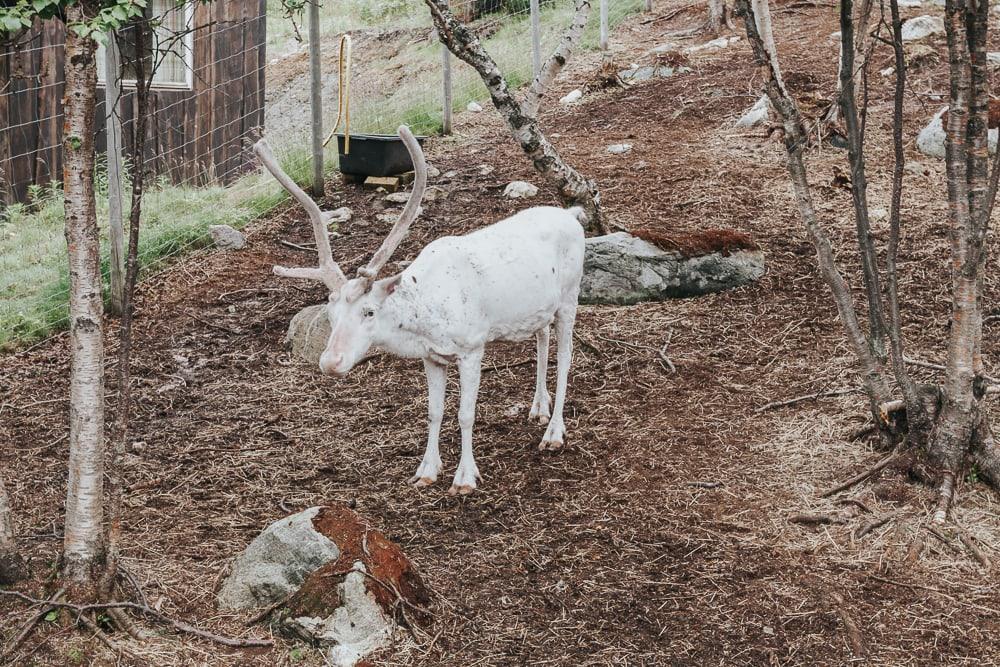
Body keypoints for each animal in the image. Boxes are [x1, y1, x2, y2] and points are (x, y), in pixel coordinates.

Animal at [254, 126, 585, 495]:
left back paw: (553, 432)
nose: (330, 362)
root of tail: (574, 216)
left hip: (570, 298)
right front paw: (426, 470)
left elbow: (465, 414)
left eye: (369, 312)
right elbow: (434, 412)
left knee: (566, 357)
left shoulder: (472, 347)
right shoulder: (432, 356)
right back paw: (538, 408)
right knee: (542, 340)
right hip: (539, 310)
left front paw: (465, 478)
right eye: (331, 314)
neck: (428, 317)